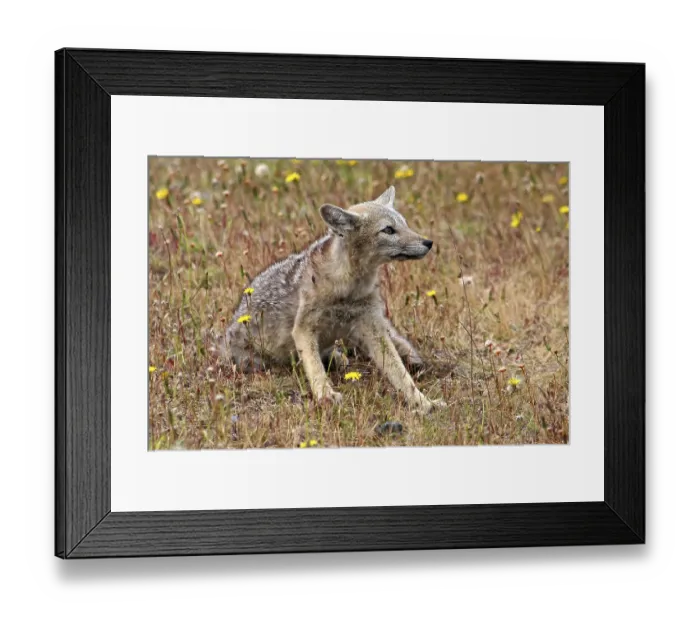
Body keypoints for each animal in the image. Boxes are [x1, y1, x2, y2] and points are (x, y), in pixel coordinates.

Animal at [222, 185, 444, 414]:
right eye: (389, 230)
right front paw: (325, 395)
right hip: (255, 361)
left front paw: (423, 402)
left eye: (405, 224)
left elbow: (400, 374)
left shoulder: (373, 327)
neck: (349, 287)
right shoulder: (303, 329)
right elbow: (315, 368)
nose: (428, 242)